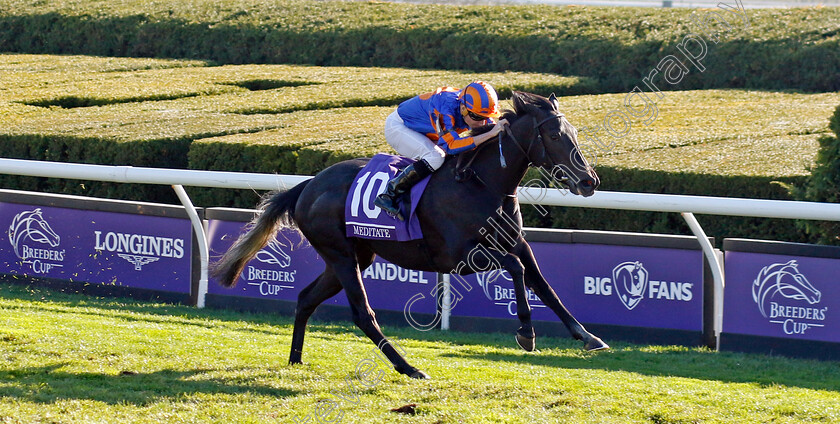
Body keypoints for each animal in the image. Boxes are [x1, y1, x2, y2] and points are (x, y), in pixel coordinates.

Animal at [215, 91, 612, 380]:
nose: (589, 181)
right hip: (341, 255)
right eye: (555, 135)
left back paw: (296, 360)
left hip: (353, 256)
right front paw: (526, 333)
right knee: (362, 314)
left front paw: (589, 337)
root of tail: (307, 186)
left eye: (575, 134)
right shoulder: (459, 258)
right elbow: (516, 269)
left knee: (305, 298)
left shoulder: (516, 242)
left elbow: (543, 284)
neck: (481, 184)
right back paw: (409, 367)